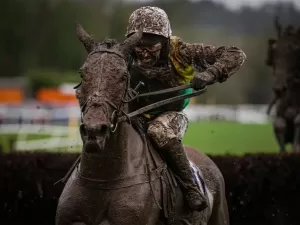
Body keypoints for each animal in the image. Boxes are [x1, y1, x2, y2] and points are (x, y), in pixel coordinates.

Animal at [55, 23, 230, 225]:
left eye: (123, 76)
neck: (103, 178)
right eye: (82, 73)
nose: (94, 130)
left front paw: (205, 77)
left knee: (161, 132)